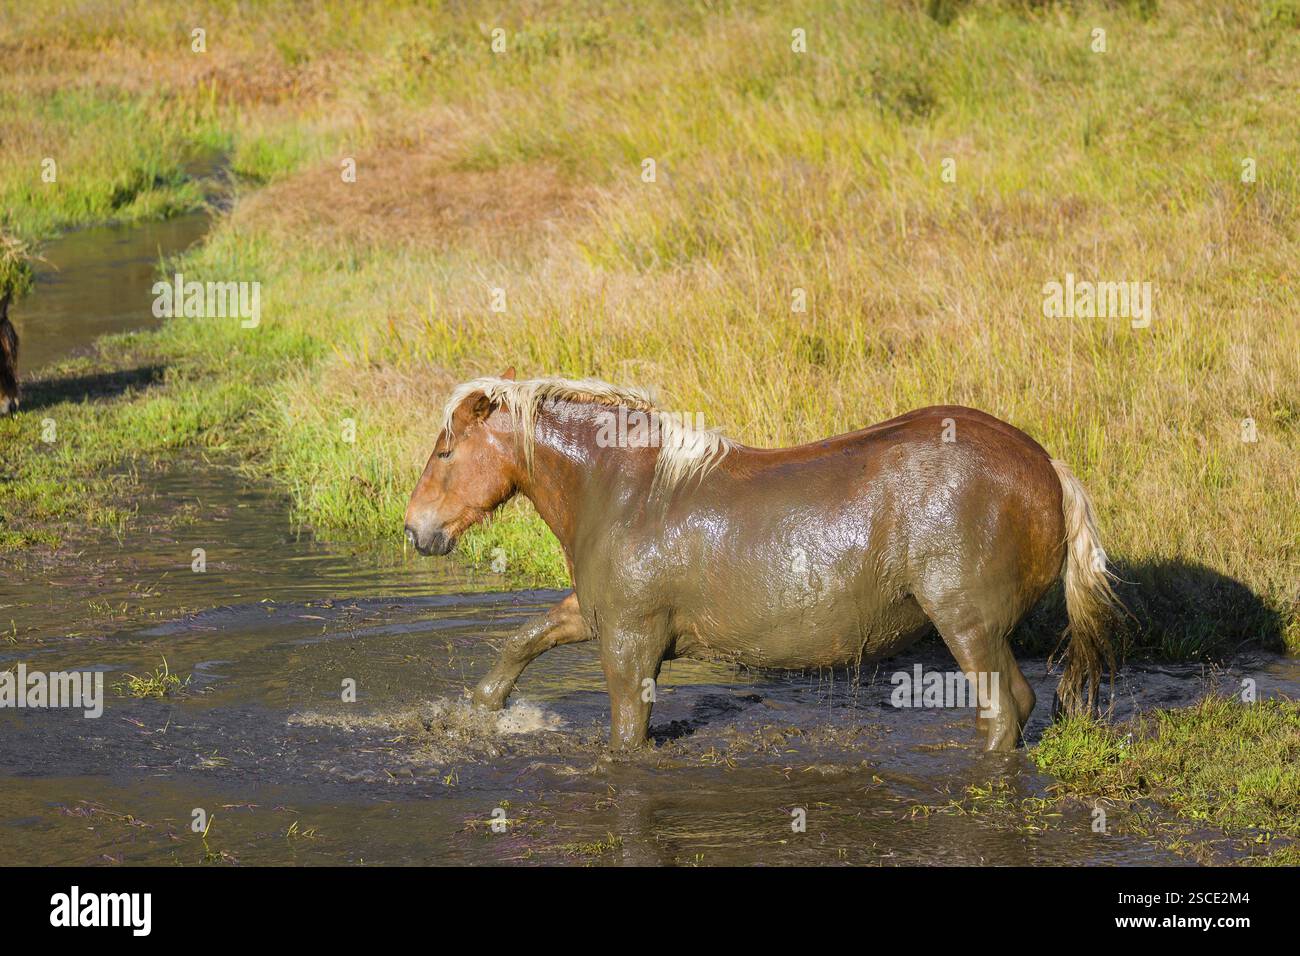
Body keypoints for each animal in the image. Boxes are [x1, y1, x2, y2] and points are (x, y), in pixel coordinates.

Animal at [404, 369, 1119, 752]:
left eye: (445, 451)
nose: (416, 529)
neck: (622, 490)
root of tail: (1046, 466)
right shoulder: (597, 615)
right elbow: (523, 641)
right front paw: (477, 712)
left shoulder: (631, 644)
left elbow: (627, 735)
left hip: (969, 625)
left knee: (1006, 710)